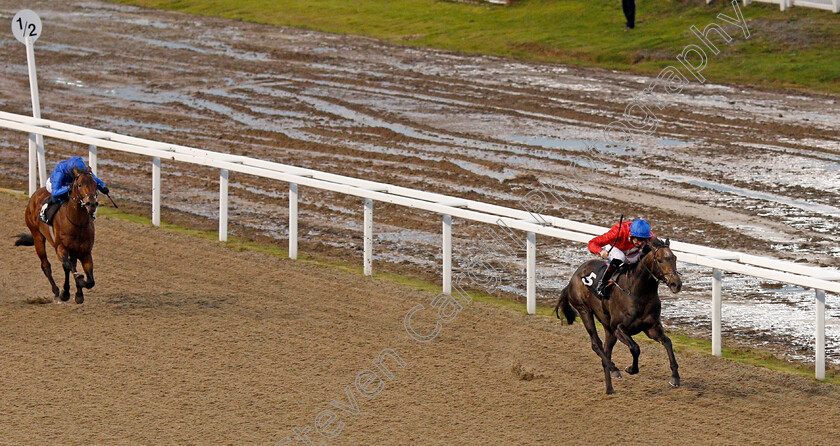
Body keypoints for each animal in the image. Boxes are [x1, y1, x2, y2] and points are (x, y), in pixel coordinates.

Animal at [14, 167, 99, 304]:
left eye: (95, 184)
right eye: (80, 185)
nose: (91, 204)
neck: (77, 223)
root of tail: (35, 194)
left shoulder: (85, 252)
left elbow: (90, 281)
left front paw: (78, 293)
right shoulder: (60, 247)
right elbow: (68, 266)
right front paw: (68, 291)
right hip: (37, 236)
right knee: (46, 265)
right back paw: (57, 291)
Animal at [556, 237, 684, 394]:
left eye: (674, 258)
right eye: (659, 260)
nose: (676, 284)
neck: (639, 293)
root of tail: (573, 278)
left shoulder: (652, 327)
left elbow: (668, 342)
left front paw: (675, 377)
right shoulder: (618, 328)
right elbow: (635, 348)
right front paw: (631, 368)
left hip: (607, 326)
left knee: (606, 348)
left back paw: (610, 383)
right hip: (584, 311)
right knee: (596, 344)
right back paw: (613, 369)